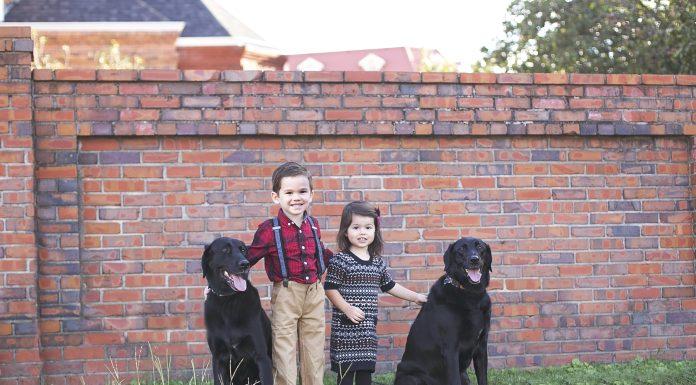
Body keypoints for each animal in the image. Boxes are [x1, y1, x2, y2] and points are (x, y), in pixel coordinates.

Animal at [201, 237, 272, 384]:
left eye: (243, 250)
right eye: (225, 250)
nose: (245, 264)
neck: (228, 301)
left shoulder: (262, 357)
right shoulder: (218, 358)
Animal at [394, 237, 492, 384]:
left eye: (480, 247)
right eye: (461, 249)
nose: (474, 259)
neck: (471, 294)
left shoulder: (481, 347)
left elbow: (483, 378)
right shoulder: (451, 348)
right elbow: (454, 379)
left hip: (464, 375)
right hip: (412, 377)